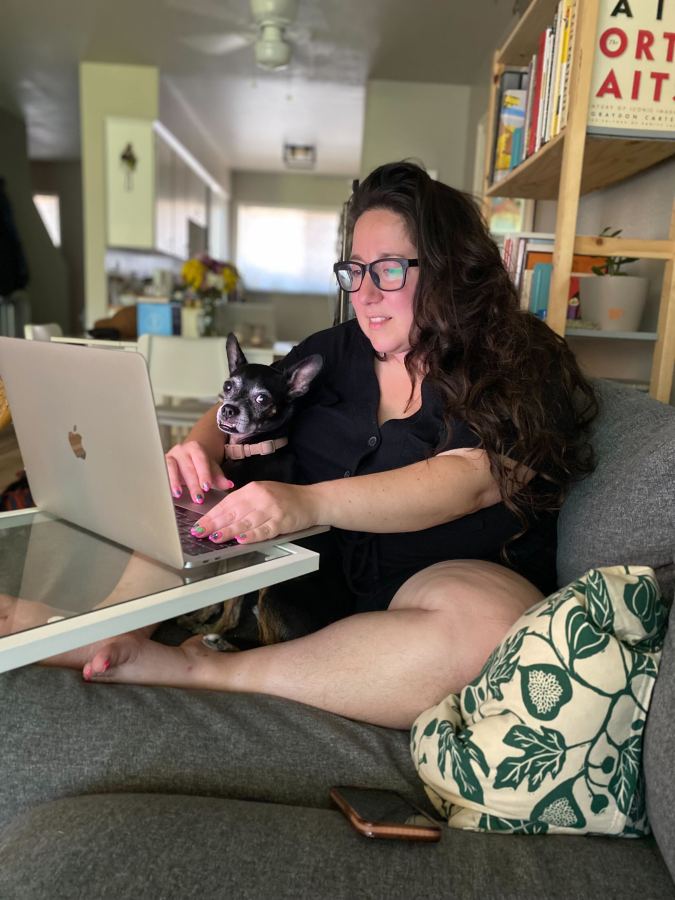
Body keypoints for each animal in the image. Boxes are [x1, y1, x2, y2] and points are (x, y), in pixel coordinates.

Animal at [178, 334, 324, 652]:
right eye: (228, 386)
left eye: (262, 399)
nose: (228, 408)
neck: (251, 449)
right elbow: (220, 584)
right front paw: (200, 616)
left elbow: (231, 600)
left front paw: (213, 626)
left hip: (273, 592)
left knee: (269, 645)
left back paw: (220, 641)